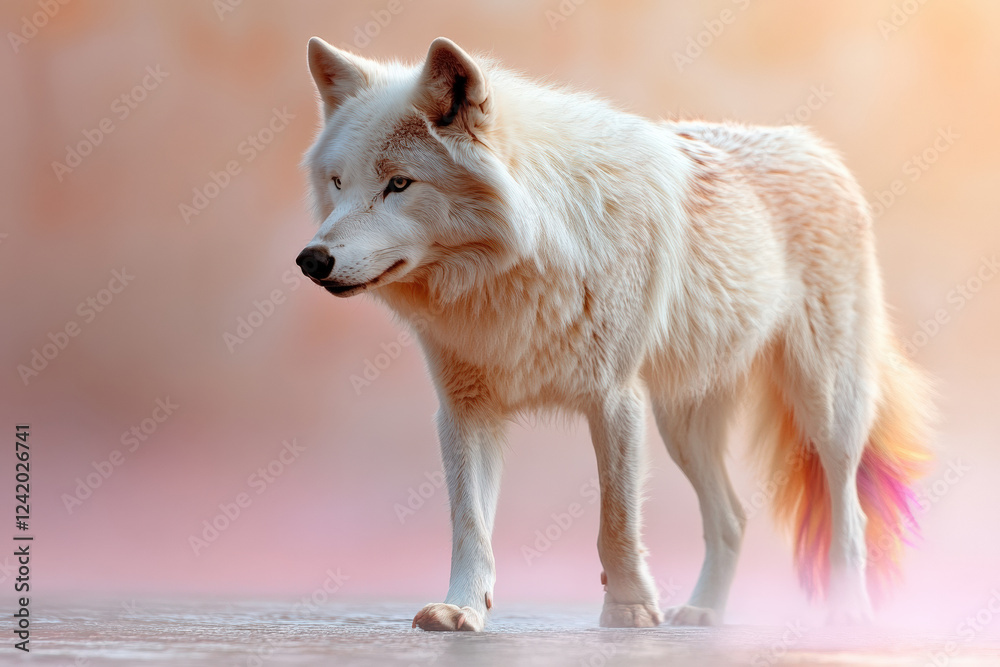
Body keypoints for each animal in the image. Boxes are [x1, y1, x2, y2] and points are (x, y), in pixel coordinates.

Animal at [296, 36, 931, 631]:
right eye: (338, 182)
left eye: (399, 184)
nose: (312, 259)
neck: (519, 265)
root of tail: (814, 147)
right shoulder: (464, 410)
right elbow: (469, 524)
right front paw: (462, 610)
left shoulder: (614, 399)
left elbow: (617, 521)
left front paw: (629, 609)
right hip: (684, 426)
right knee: (732, 518)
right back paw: (703, 612)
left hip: (824, 410)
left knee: (850, 512)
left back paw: (849, 614)